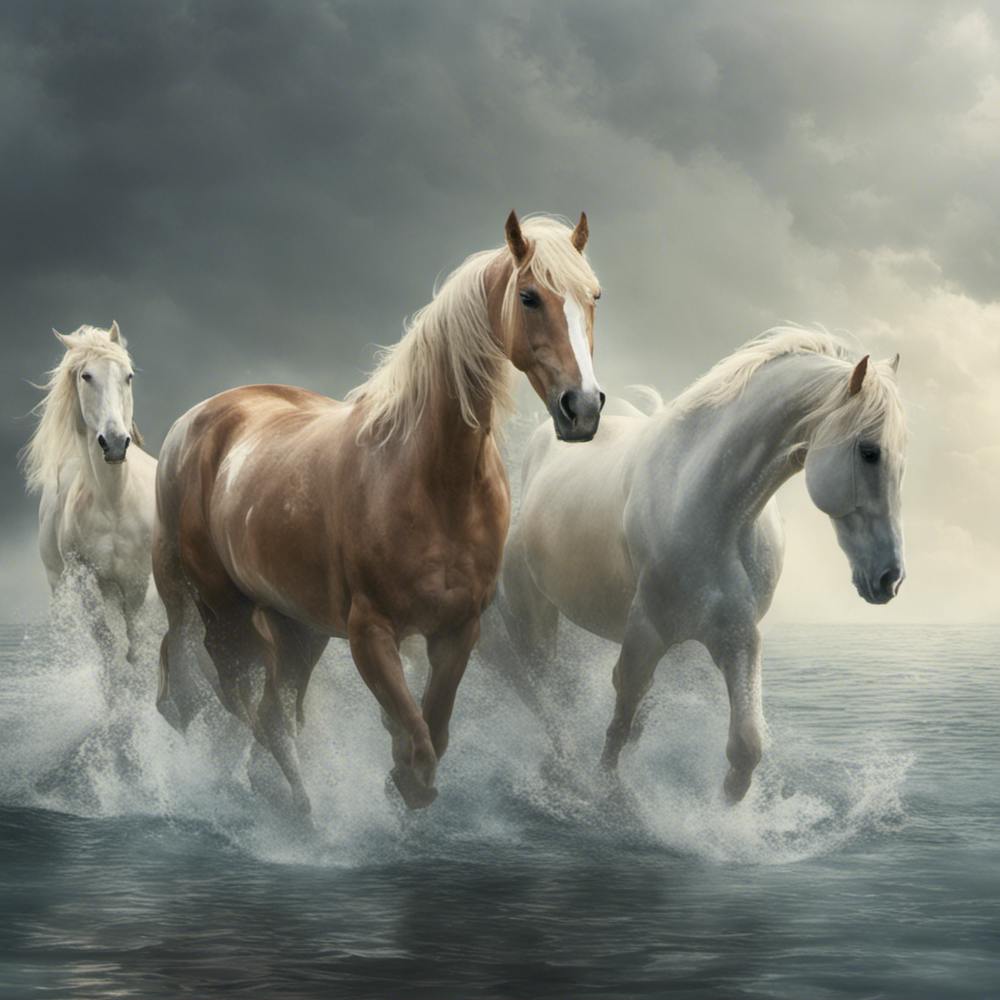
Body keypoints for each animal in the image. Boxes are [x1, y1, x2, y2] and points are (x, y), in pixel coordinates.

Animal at [22, 322, 157, 663]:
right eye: (86, 376)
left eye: (128, 375)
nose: (114, 442)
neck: (115, 502)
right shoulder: (88, 582)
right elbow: (108, 646)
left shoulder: (136, 580)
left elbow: (136, 647)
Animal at [153, 211, 604, 814]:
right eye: (529, 296)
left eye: (594, 296)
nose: (583, 407)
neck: (432, 483)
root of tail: (193, 421)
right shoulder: (370, 633)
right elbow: (416, 739)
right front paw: (400, 780)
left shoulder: (458, 630)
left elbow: (433, 729)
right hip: (225, 614)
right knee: (246, 707)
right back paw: (296, 808)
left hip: (298, 627)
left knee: (273, 709)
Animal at [495, 327, 907, 803]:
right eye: (869, 452)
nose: (890, 578)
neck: (712, 502)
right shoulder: (647, 631)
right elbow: (621, 718)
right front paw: (606, 791)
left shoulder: (737, 636)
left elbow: (745, 747)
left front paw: (723, 812)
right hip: (536, 619)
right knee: (548, 694)